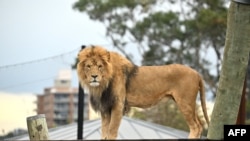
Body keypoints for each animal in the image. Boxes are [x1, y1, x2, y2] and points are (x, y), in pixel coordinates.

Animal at [77, 45, 210, 139]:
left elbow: (111, 131)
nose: (94, 76)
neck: (102, 85)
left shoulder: (118, 105)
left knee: (196, 127)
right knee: (200, 124)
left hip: (185, 102)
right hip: (189, 103)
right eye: (88, 66)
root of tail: (196, 73)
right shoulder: (105, 108)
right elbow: (104, 132)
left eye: (100, 66)